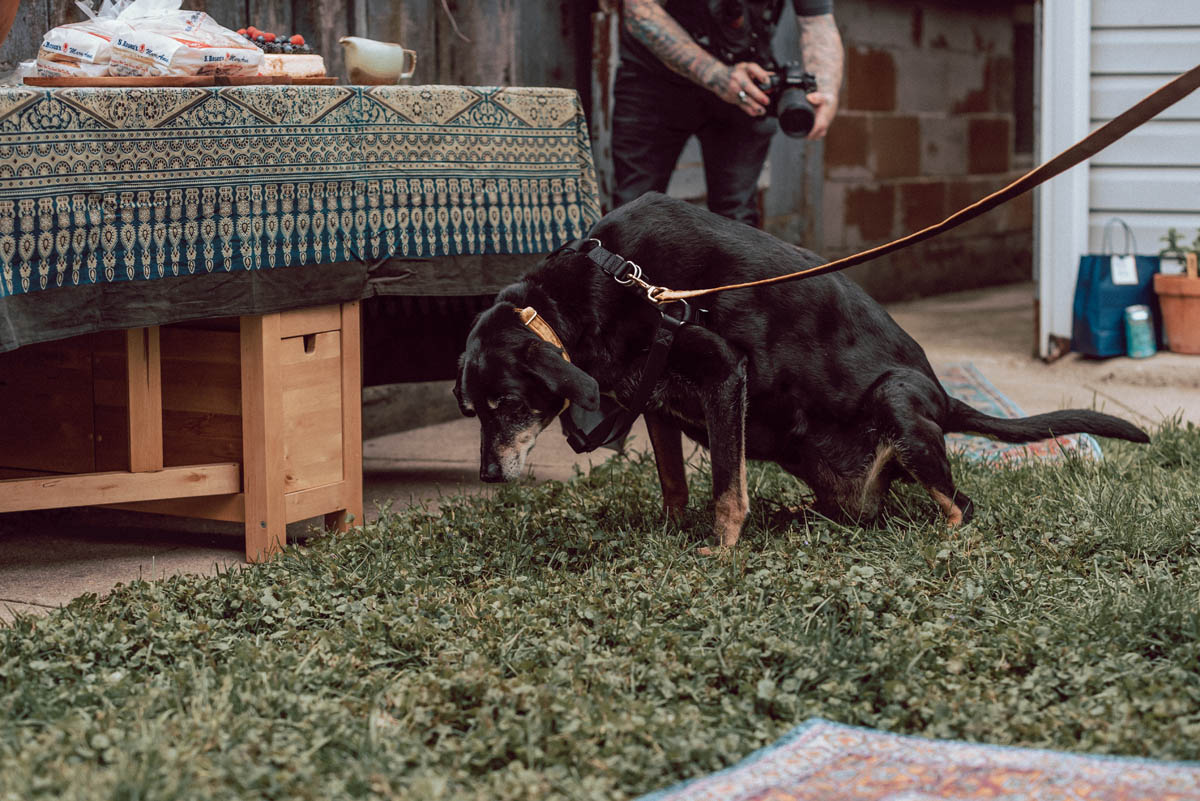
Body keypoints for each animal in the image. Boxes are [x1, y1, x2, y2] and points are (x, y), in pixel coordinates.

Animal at [453, 190, 1147, 546]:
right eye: (470, 410)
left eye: (506, 405)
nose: (486, 476)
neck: (606, 285)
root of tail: (946, 399)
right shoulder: (654, 400)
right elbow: (675, 484)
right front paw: (673, 532)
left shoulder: (723, 373)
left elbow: (726, 488)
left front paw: (720, 551)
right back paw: (797, 517)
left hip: (898, 401)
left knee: (961, 509)